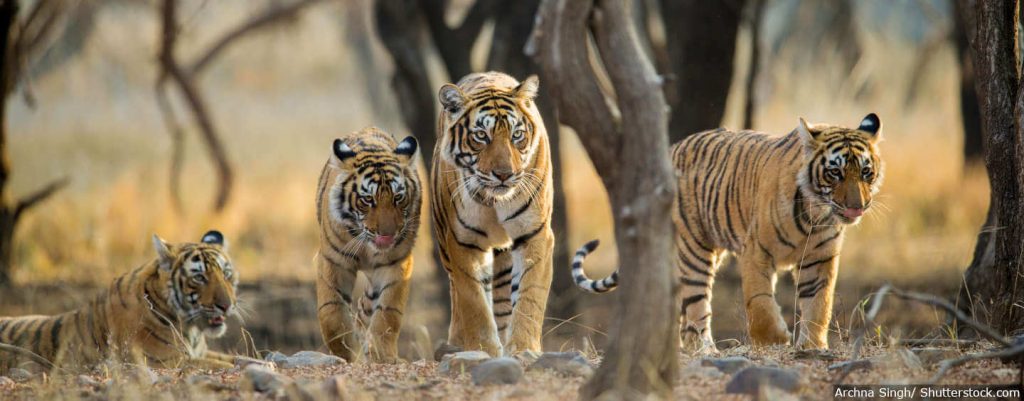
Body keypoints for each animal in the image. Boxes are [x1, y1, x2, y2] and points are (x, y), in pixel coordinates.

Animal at [0, 230, 243, 371]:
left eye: (226, 274)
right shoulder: (166, 361)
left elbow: (239, 358)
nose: (227, 305)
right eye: (199, 277)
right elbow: (221, 365)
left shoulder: (199, 353)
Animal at [314, 127, 421, 363]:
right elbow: (331, 313)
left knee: (367, 307)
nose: (388, 234)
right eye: (367, 199)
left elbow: (387, 312)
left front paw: (381, 355)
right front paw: (345, 352)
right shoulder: (333, 261)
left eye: (398, 197)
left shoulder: (396, 263)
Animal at [431, 72, 553, 357]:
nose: (504, 174)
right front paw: (482, 349)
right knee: (457, 294)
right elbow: (473, 302)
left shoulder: (535, 234)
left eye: (517, 135)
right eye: (480, 136)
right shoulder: (463, 241)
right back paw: (456, 342)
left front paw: (523, 348)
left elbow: (530, 296)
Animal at [571, 114, 884, 353]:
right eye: (835, 173)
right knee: (696, 308)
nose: (857, 206)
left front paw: (812, 346)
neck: (815, 214)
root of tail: (671, 149)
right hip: (694, 251)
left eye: (866, 172)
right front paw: (775, 340)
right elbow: (759, 302)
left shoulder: (819, 259)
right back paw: (704, 350)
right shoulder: (756, 252)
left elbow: (819, 304)